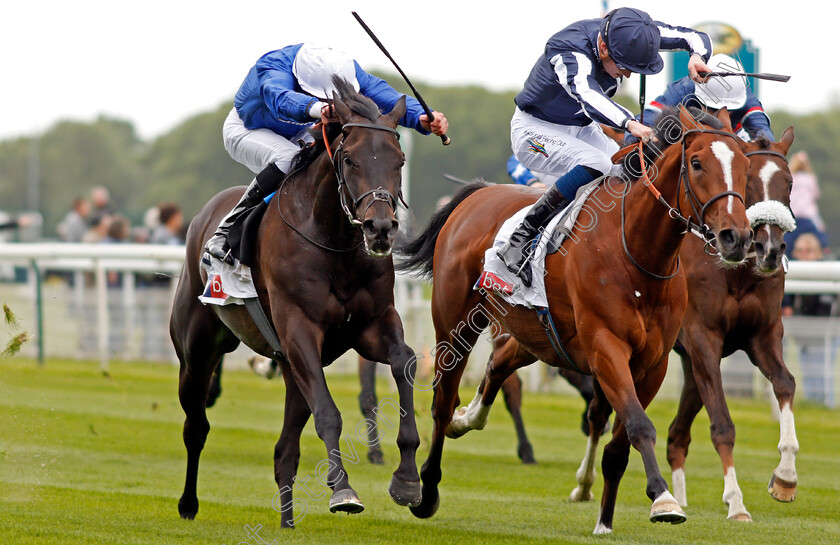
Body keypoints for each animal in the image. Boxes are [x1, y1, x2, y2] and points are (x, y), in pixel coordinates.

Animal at [171, 77, 424, 528]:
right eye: (350, 159)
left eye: (399, 161)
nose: (380, 228)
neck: (334, 242)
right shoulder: (300, 330)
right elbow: (328, 413)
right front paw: (342, 491)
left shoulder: (372, 325)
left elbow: (404, 362)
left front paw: (408, 480)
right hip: (197, 350)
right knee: (196, 427)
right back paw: (188, 504)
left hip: (289, 367)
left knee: (283, 452)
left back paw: (287, 521)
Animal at [398, 106, 752, 532]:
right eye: (697, 163)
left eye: (746, 165)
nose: (736, 237)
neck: (637, 252)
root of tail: (477, 193)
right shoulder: (606, 348)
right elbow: (639, 425)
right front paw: (664, 499)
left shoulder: (653, 363)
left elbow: (619, 445)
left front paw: (606, 521)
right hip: (456, 325)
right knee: (442, 401)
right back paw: (428, 489)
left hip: (537, 334)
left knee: (498, 363)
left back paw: (469, 418)